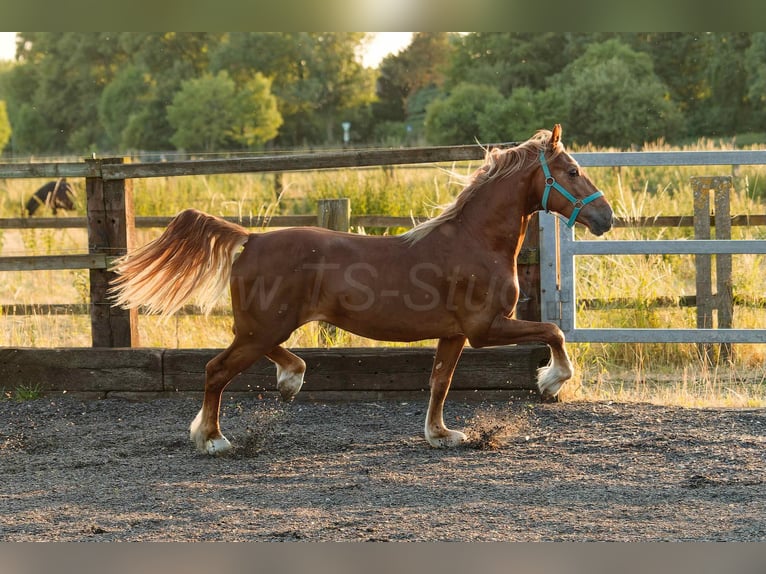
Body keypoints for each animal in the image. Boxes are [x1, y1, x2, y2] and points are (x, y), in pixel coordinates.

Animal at [110, 124, 614, 455]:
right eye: (572, 171)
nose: (606, 218)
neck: (475, 240)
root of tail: (250, 238)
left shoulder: (454, 334)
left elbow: (440, 381)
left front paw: (440, 435)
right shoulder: (485, 328)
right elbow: (553, 331)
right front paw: (551, 380)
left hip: (265, 326)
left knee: (263, 356)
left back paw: (290, 379)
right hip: (262, 327)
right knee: (216, 370)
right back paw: (213, 438)